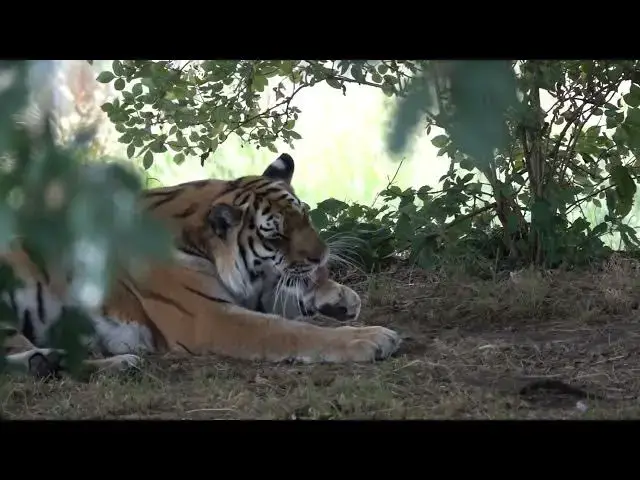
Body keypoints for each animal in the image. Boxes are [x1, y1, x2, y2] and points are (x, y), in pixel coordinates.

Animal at [1, 153, 401, 378]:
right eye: (276, 237)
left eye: (305, 217)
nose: (321, 256)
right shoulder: (209, 317)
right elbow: (294, 331)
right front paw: (371, 338)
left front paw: (340, 297)